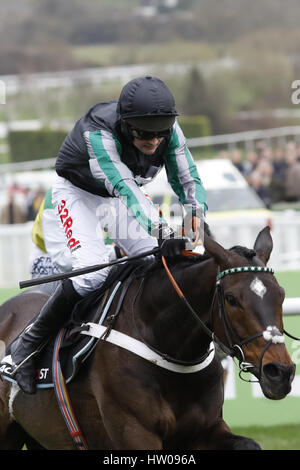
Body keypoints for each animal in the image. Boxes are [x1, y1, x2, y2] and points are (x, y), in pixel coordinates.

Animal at [0, 228, 296, 452]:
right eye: (232, 299)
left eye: (281, 294)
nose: (279, 372)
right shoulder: (135, 432)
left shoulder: (206, 429)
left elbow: (248, 444)